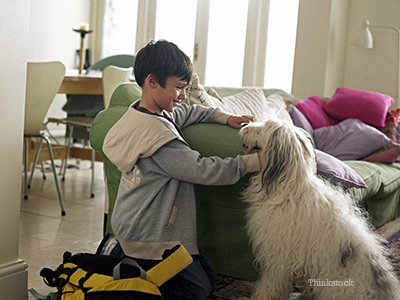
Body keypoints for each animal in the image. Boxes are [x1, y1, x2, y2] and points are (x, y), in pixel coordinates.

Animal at [238, 118, 400, 298]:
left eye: (261, 130)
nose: (243, 124)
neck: (287, 187)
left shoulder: (279, 256)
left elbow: (268, 284)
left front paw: (256, 295)